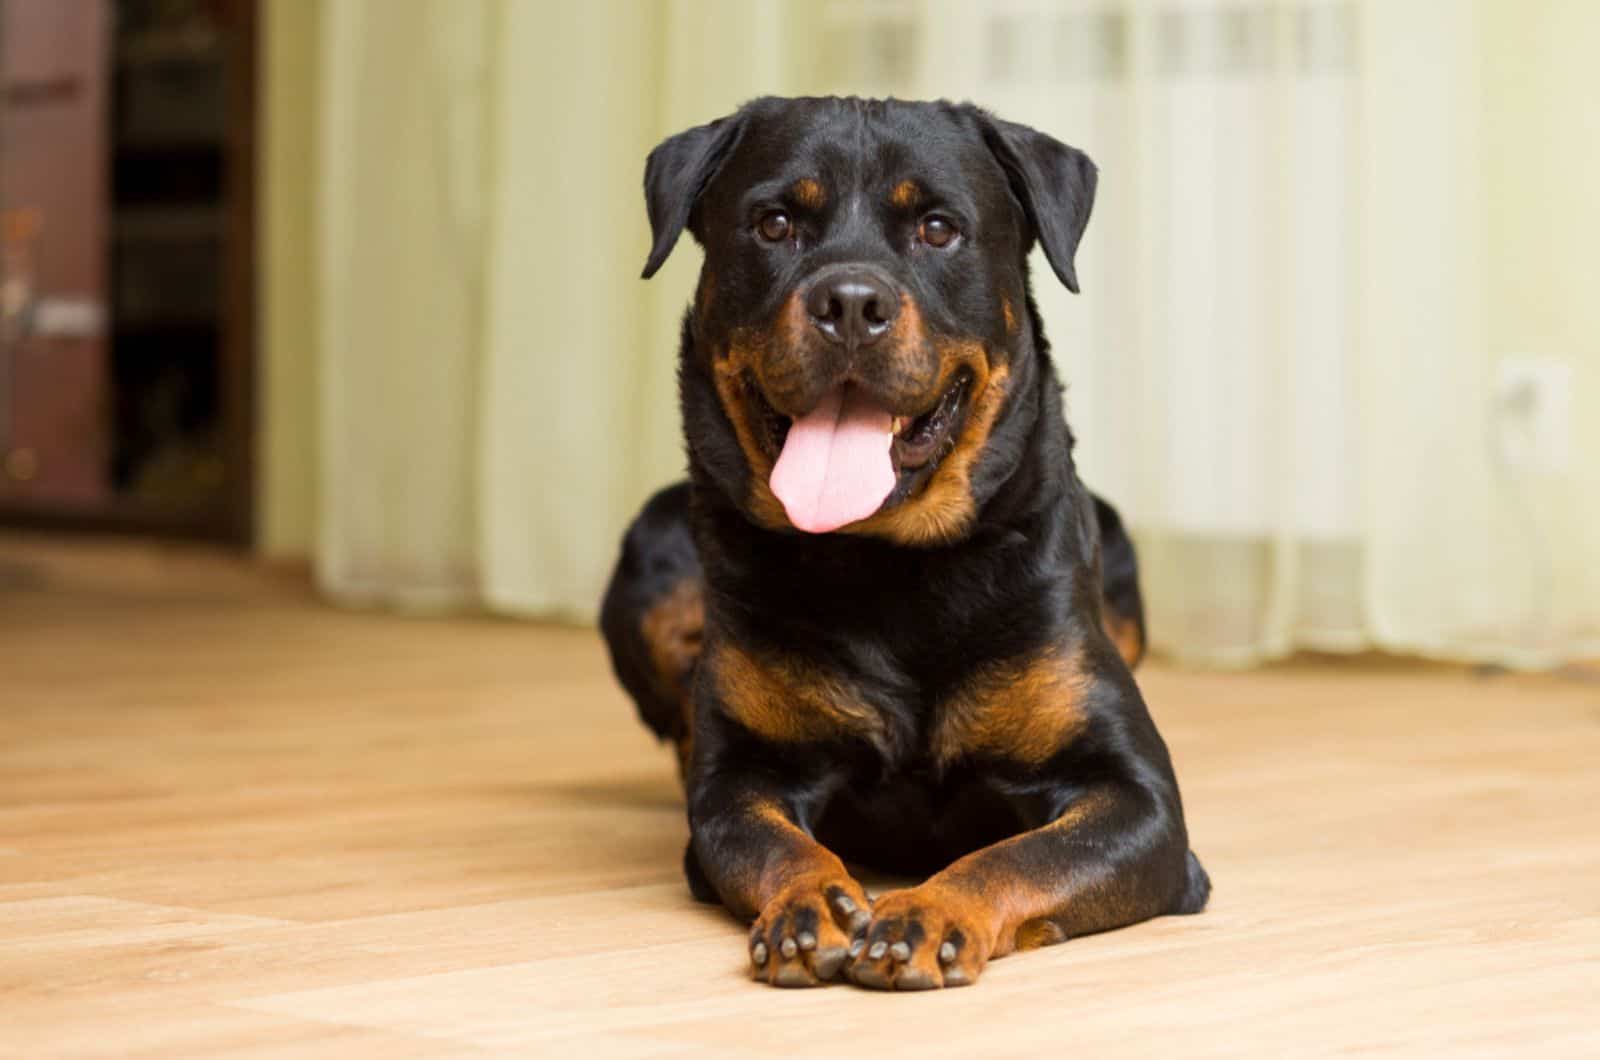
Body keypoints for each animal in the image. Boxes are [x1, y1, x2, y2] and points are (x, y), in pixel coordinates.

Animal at [601, 95, 1209, 992]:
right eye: (774, 224)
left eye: (937, 228)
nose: (851, 302)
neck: (887, 564)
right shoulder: (740, 783)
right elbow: (775, 841)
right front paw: (808, 906)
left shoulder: (1140, 802)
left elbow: (1017, 855)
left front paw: (927, 914)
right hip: (647, 553)